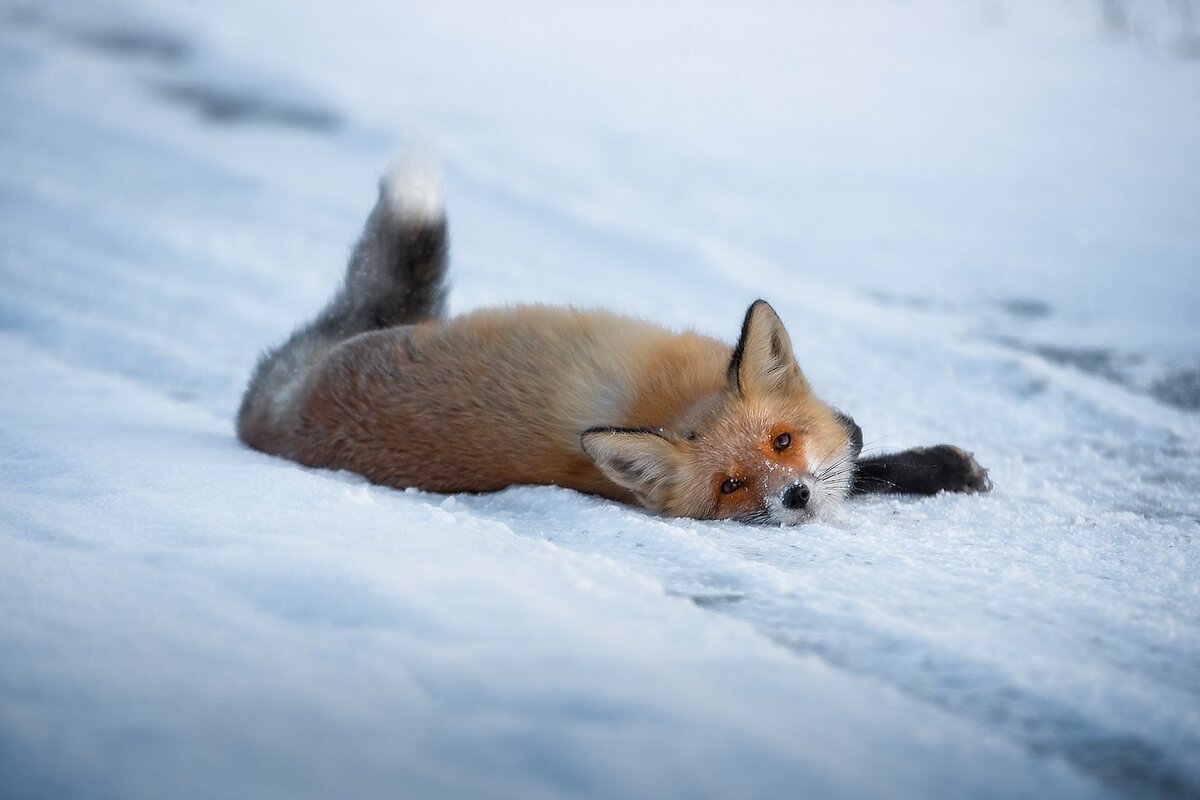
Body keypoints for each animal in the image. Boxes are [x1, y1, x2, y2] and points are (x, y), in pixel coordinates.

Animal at [238, 160, 988, 525]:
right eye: (732, 485)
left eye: (781, 442)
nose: (795, 499)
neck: (676, 399)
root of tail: (269, 413)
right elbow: (862, 469)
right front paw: (922, 465)